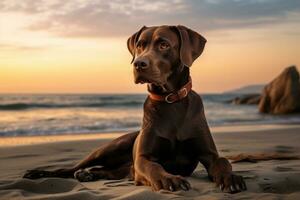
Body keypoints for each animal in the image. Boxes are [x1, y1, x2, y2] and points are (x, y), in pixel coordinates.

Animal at [24, 25, 246, 194]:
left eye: (164, 44)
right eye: (140, 45)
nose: (139, 63)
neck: (170, 101)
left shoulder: (210, 155)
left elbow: (223, 161)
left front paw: (231, 178)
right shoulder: (142, 159)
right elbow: (154, 166)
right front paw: (169, 179)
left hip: (122, 166)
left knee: (109, 171)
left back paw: (90, 174)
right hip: (111, 147)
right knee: (70, 168)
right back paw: (42, 173)